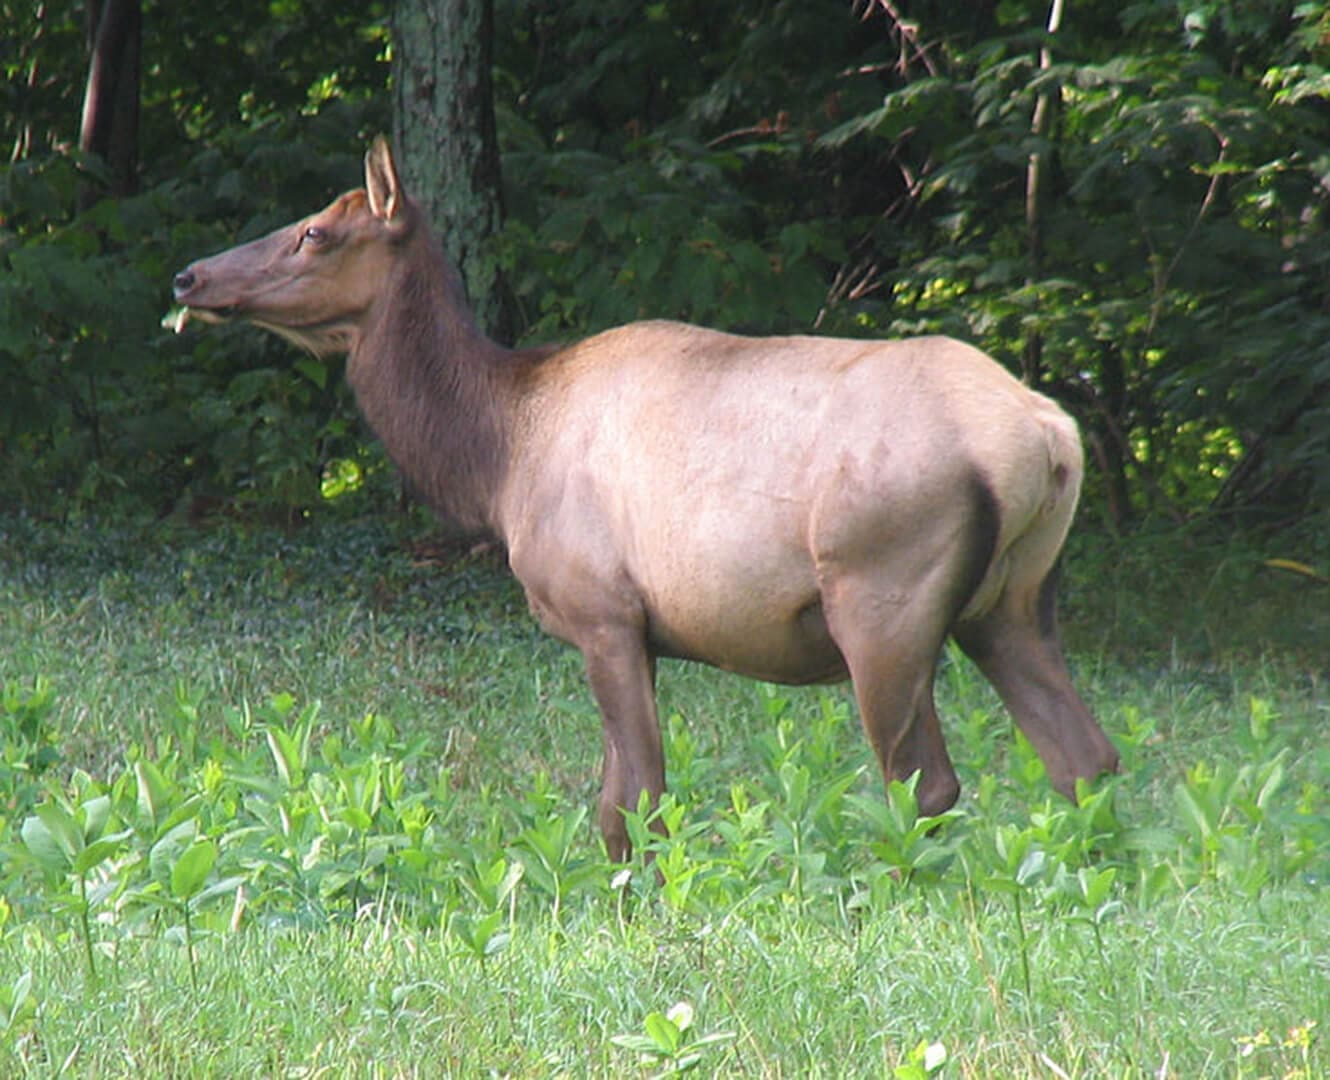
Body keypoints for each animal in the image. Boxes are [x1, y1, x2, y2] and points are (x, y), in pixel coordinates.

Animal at [172, 137, 1119, 862]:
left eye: (315, 232)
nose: (189, 277)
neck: (497, 457)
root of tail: (1051, 435)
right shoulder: (637, 631)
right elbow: (620, 798)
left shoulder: (601, 611)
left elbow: (636, 799)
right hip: (1012, 602)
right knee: (1086, 757)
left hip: (883, 594)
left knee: (923, 780)